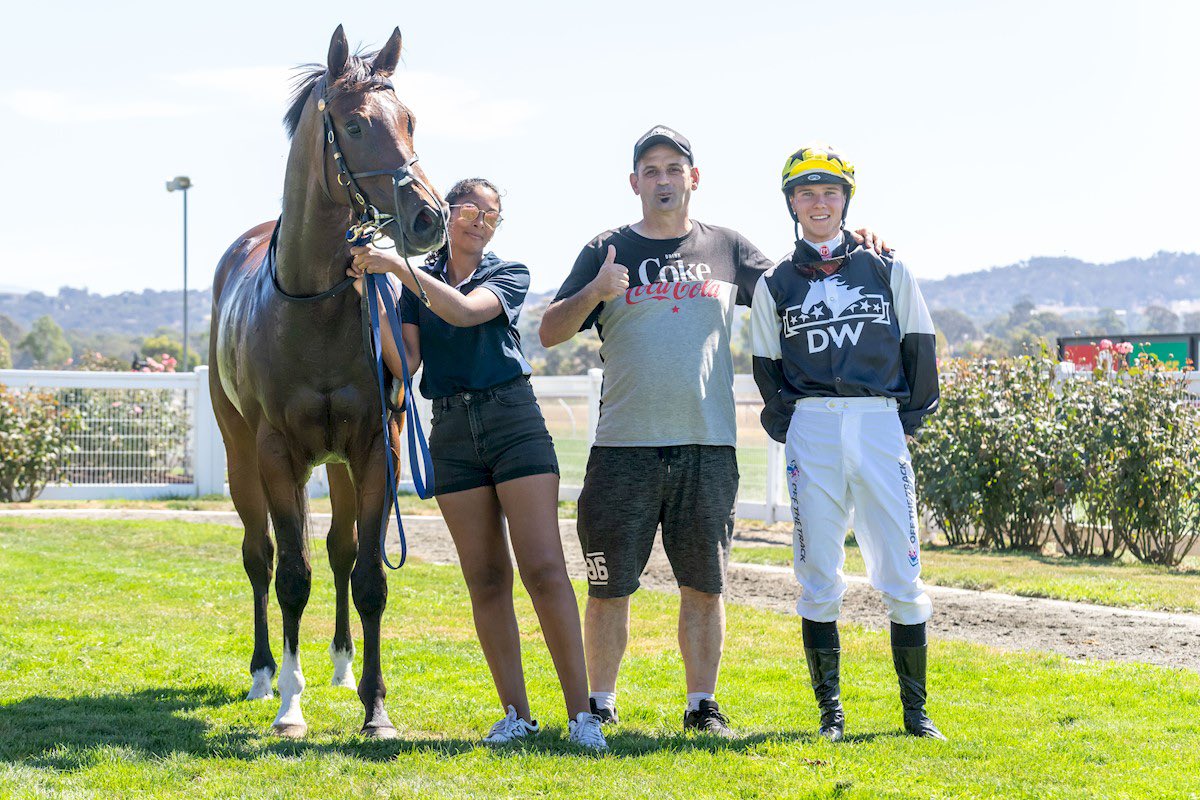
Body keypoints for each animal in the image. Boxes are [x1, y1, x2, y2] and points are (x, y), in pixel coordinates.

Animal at [210, 25, 446, 738]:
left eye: (409, 118)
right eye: (356, 123)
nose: (429, 218)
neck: (310, 305)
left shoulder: (376, 446)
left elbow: (368, 575)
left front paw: (376, 709)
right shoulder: (275, 453)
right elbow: (292, 574)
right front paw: (291, 706)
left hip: (341, 463)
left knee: (342, 552)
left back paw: (341, 667)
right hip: (239, 456)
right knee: (259, 555)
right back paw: (265, 675)